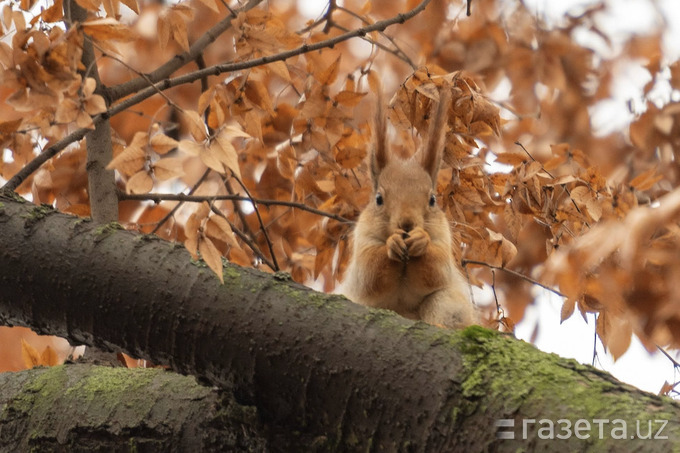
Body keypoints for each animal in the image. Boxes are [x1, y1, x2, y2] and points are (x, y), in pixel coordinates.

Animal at [340, 87, 478, 328]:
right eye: (378, 199)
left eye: (432, 199)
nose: (407, 224)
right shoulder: (362, 241)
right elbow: (370, 272)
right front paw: (392, 243)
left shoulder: (443, 239)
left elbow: (437, 268)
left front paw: (421, 240)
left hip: (445, 302)